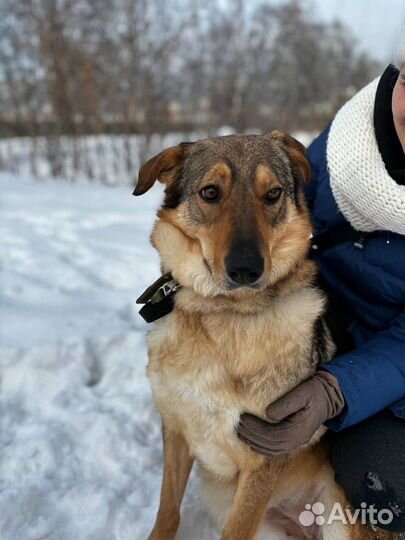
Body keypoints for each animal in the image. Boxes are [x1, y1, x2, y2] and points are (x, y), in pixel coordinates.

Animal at [134, 132, 396, 540]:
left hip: (339, 519)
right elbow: (167, 514)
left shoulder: (262, 459)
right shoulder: (175, 430)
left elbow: (234, 530)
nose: (246, 269)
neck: (221, 314)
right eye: (210, 192)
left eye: (272, 194)